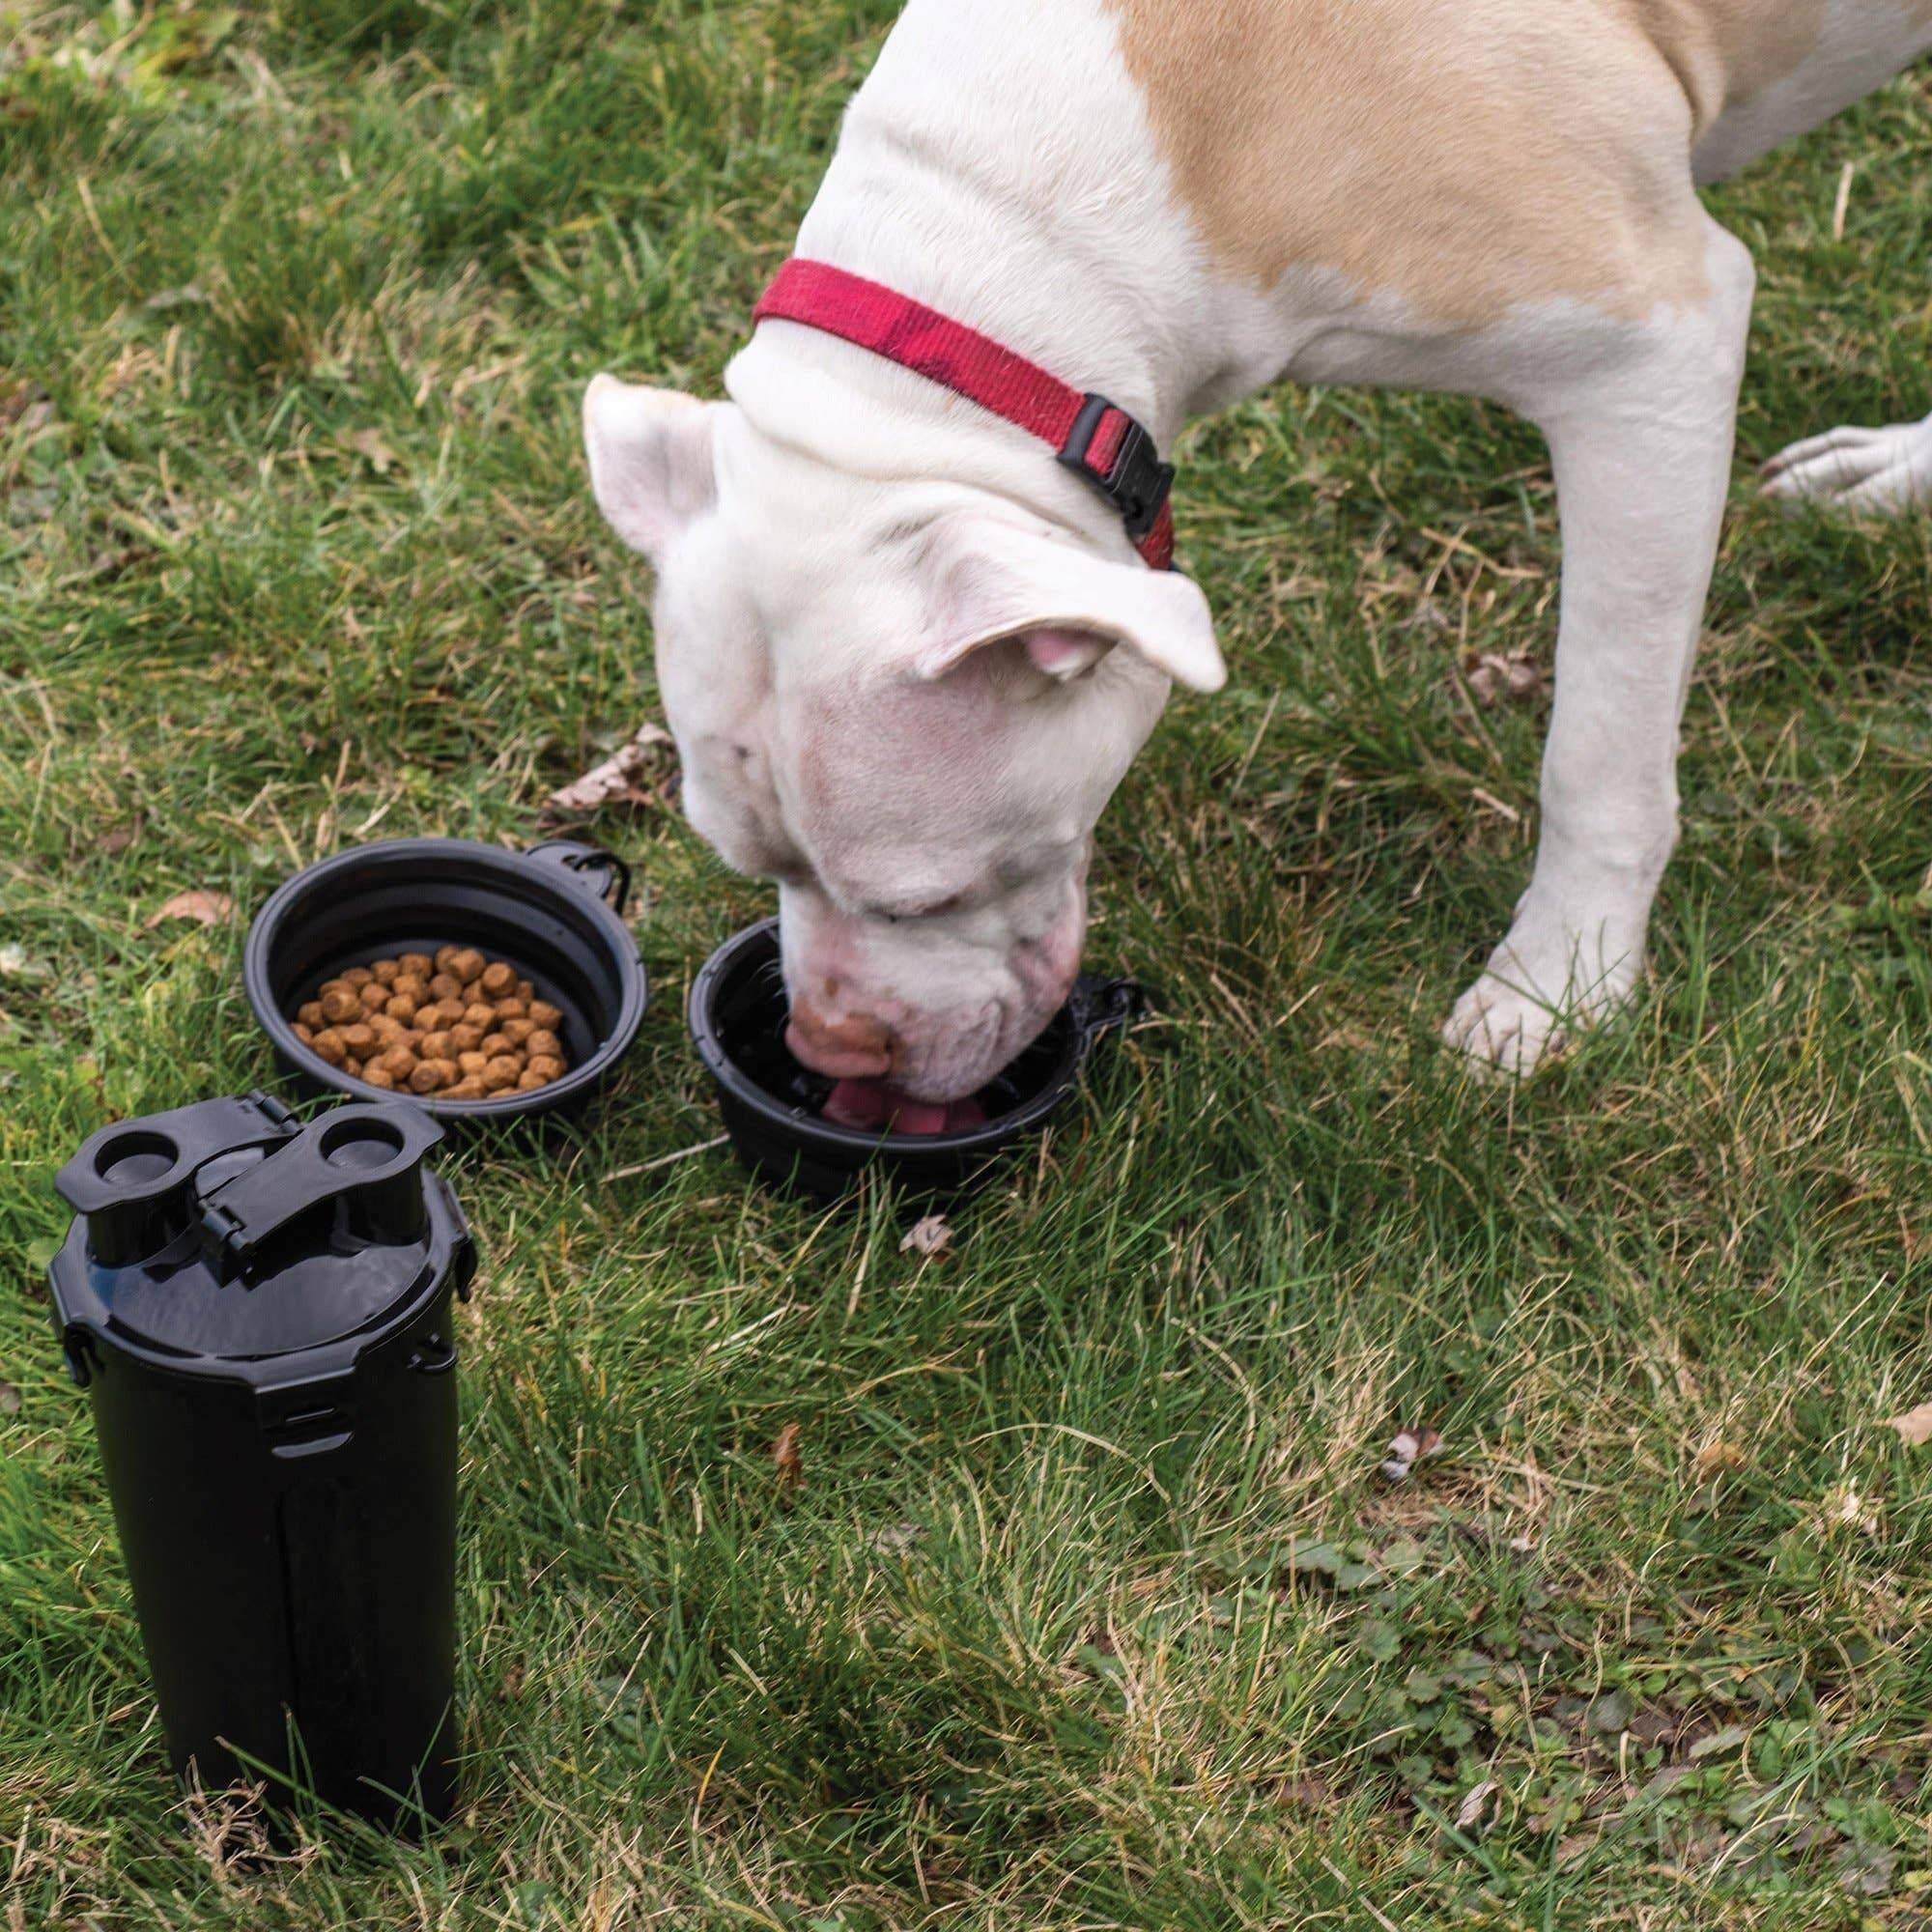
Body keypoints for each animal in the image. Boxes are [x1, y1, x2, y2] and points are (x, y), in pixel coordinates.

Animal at [580, 0, 1932, 1105]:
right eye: (748, 861)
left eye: (921, 897)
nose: (828, 1052)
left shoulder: (1648, 352)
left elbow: (1595, 750)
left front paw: (1557, 983)